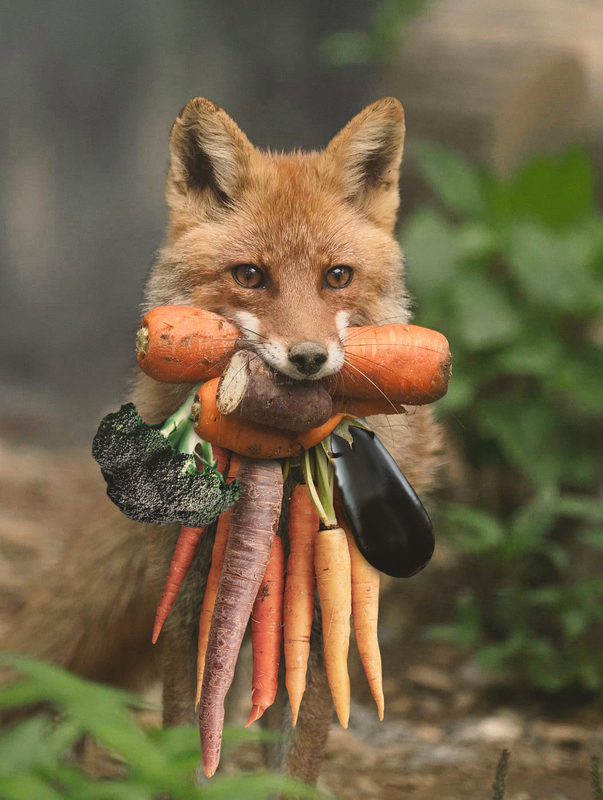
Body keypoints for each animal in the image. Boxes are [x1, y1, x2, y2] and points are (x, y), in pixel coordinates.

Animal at [2, 97, 443, 785]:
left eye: (338, 276)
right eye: (250, 275)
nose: (309, 358)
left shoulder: (321, 615)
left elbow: (292, 765)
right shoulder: (188, 600)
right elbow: (186, 746)